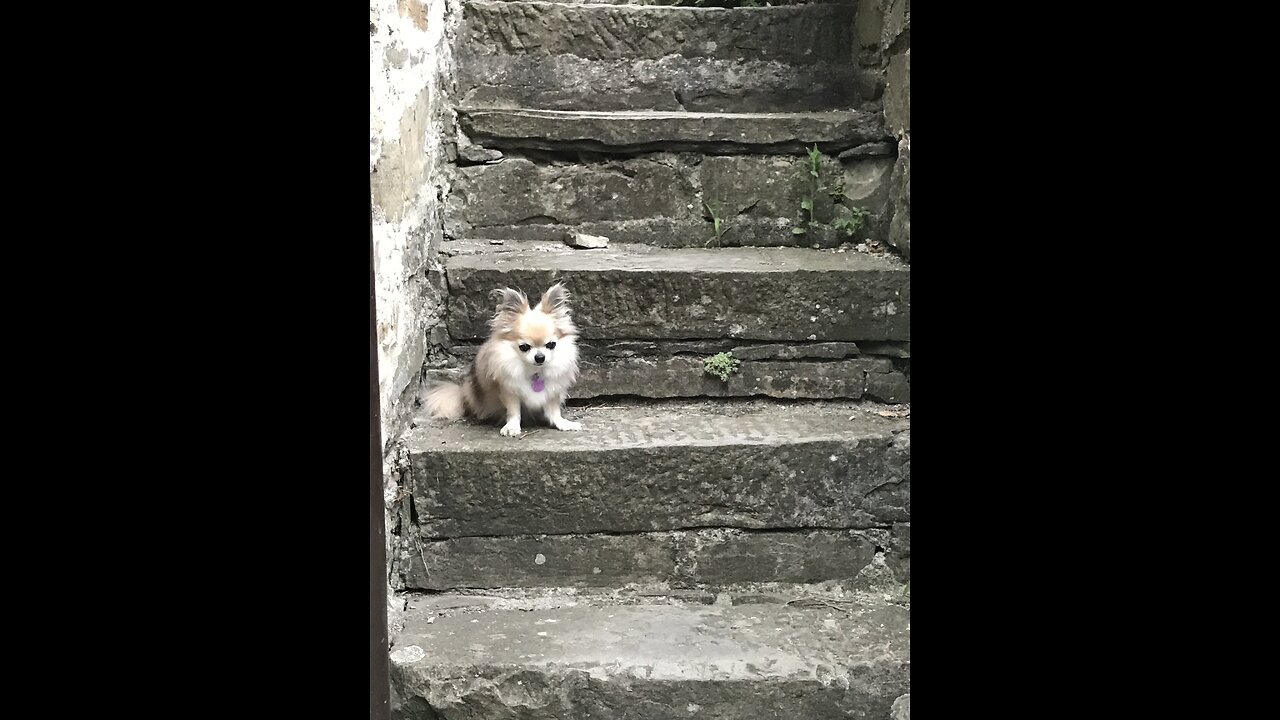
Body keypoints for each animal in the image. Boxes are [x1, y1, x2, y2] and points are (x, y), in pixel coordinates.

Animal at [422, 283, 583, 435]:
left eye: (551, 344)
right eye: (524, 347)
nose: (540, 357)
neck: (534, 371)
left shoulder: (552, 391)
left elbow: (554, 411)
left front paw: (562, 423)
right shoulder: (509, 390)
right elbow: (514, 411)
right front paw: (512, 427)